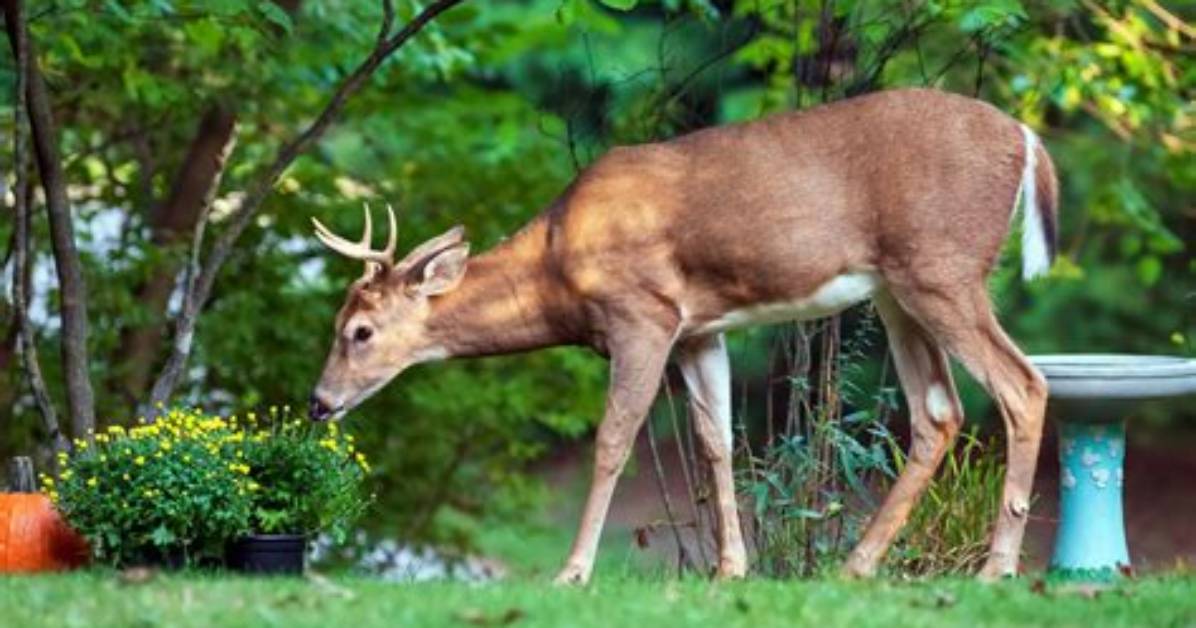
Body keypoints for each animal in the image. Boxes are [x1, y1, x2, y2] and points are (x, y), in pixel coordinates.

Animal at [308, 88, 1058, 585]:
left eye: (360, 331)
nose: (319, 402)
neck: (558, 265)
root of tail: (1026, 138)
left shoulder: (642, 314)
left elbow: (614, 440)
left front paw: (572, 572)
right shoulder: (700, 330)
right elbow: (714, 441)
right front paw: (730, 570)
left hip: (942, 268)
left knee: (1023, 384)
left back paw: (995, 570)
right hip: (898, 289)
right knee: (939, 411)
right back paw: (855, 566)